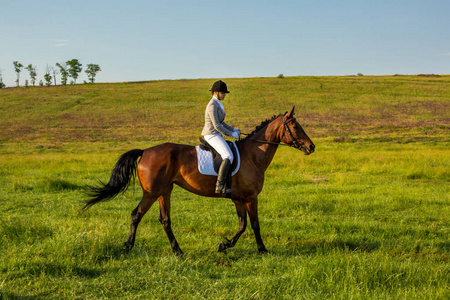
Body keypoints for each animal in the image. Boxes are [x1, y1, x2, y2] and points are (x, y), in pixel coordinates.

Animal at [83, 106, 316, 255]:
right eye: (296, 127)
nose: (311, 147)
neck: (253, 154)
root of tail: (146, 151)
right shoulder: (251, 198)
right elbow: (255, 224)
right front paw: (262, 249)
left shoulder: (239, 199)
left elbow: (242, 225)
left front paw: (224, 245)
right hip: (151, 193)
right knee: (136, 214)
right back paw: (128, 246)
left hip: (164, 192)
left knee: (165, 220)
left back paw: (178, 251)